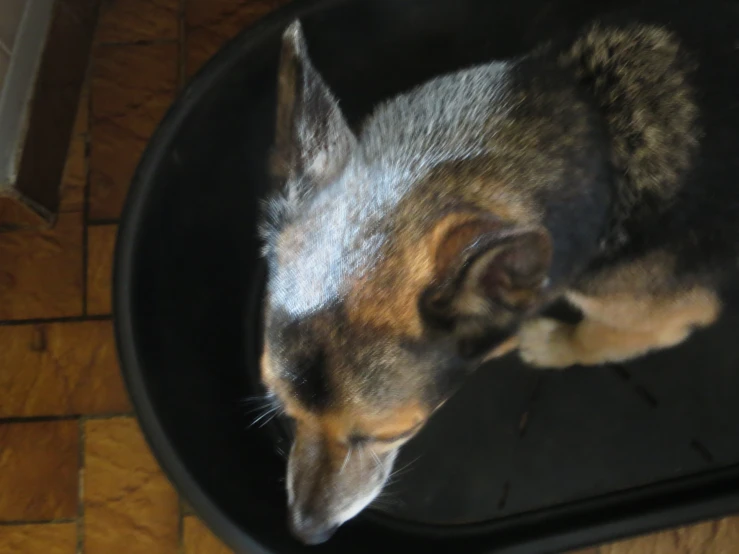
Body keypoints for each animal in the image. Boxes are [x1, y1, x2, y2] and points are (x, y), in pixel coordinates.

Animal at [258, 0, 739, 540]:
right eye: (282, 408)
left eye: (396, 433)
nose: (306, 532)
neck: (596, 123)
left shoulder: (657, 313)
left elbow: (598, 335)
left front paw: (552, 344)